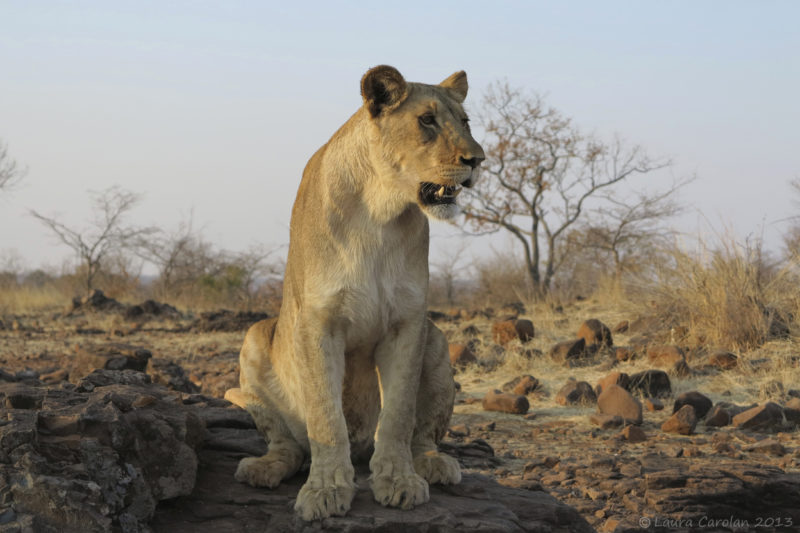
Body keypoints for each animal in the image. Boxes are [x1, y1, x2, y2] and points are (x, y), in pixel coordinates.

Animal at [224, 65, 485, 521]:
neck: (379, 211)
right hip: (255, 336)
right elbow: (326, 418)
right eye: (427, 121)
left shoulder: (408, 322)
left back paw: (433, 463)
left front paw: (398, 481)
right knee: (289, 444)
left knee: (423, 435)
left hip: (436, 340)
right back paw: (263, 468)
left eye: (465, 122)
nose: (478, 160)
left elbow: (398, 414)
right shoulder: (318, 322)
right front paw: (326, 490)